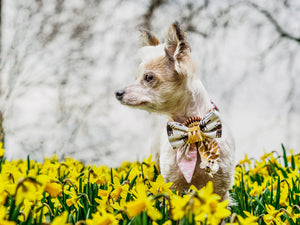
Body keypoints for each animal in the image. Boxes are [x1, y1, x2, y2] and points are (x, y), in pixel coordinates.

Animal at [116, 21, 236, 200]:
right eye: (136, 77)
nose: (118, 93)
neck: (192, 131)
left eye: (148, 77)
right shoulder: (175, 186)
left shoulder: (220, 189)